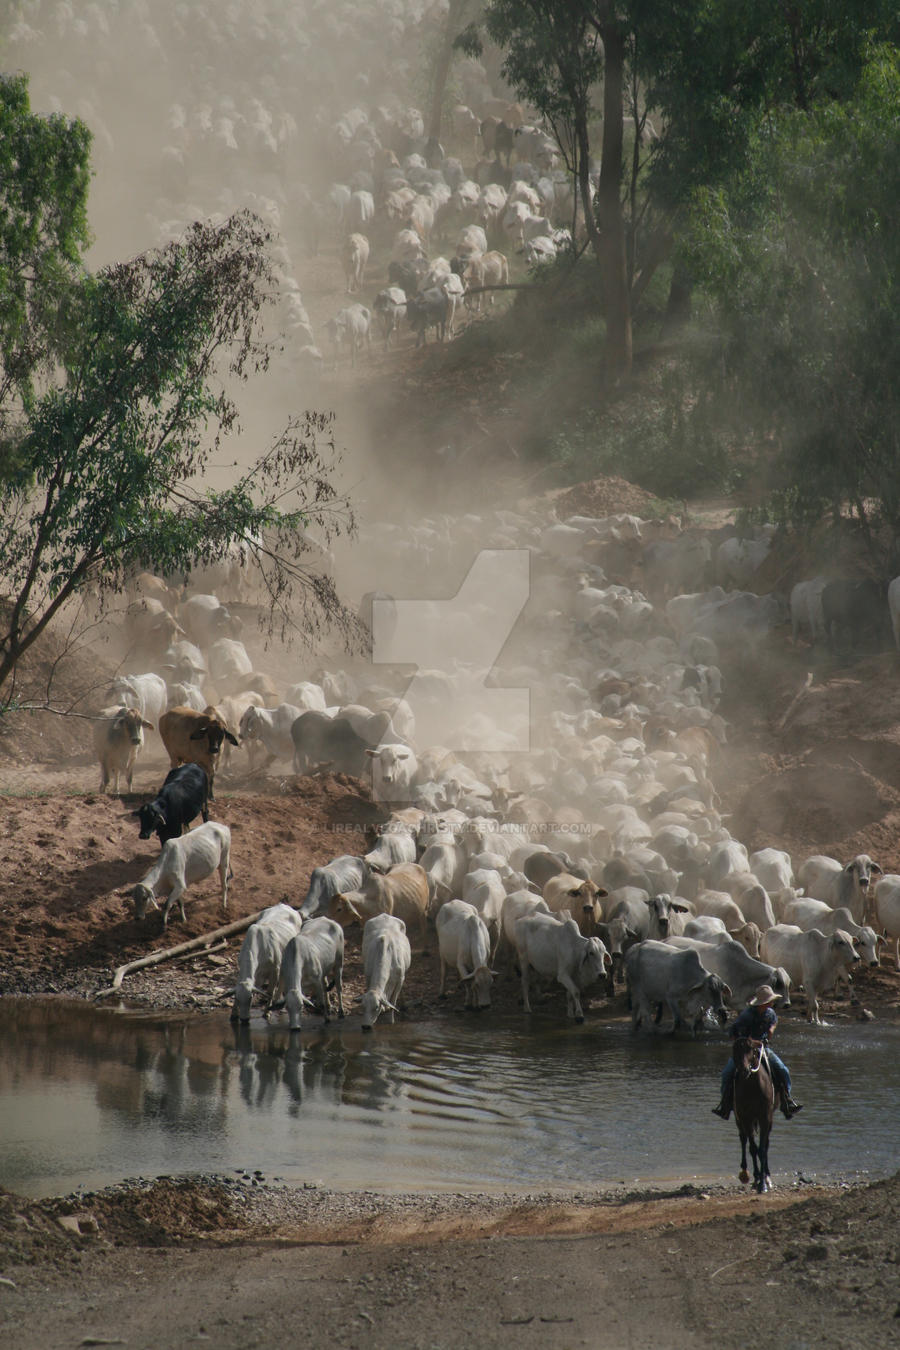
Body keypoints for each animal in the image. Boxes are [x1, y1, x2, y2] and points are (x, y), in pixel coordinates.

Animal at [734, 1031, 777, 1193]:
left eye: (751, 1050)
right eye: (735, 1051)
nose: (744, 1070)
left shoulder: (765, 1116)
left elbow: (763, 1148)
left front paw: (764, 1182)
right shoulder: (745, 1117)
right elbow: (753, 1148)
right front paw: (757, 1178)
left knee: (766, 1144)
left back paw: (767, 1176)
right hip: (739, 1119)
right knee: (743, 1139)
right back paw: (746, 1173)